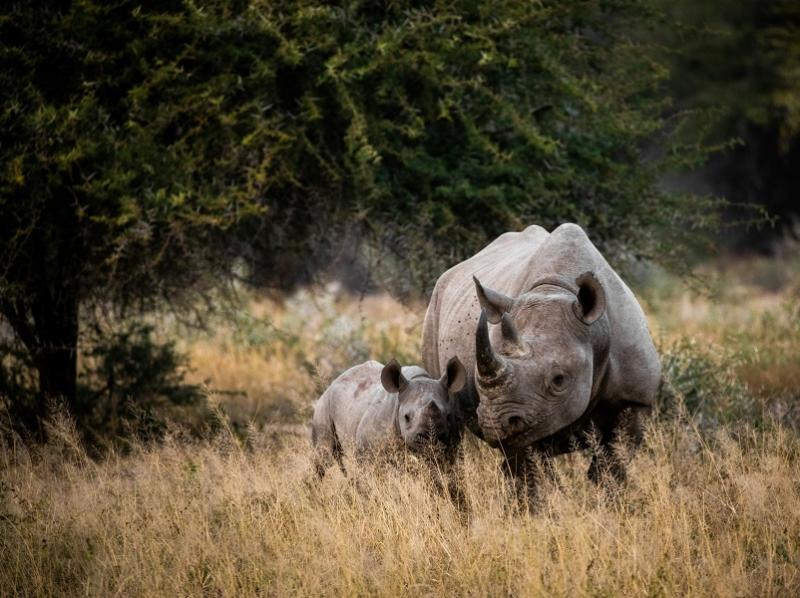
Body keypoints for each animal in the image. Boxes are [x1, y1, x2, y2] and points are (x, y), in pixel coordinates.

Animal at [310, 356, 466, 478]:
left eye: (448, 416)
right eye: (406, 417)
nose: (429, 439)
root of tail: (333, 382)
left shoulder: (451, 448)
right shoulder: (367, 451)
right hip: (323, 406)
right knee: (323, 456)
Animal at [422, 224, 660, 482]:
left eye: (559, 380)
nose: (495, 423)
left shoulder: (634, 399)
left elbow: (611, 467)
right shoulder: (526, 412)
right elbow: (531, 472)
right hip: (434, 309)